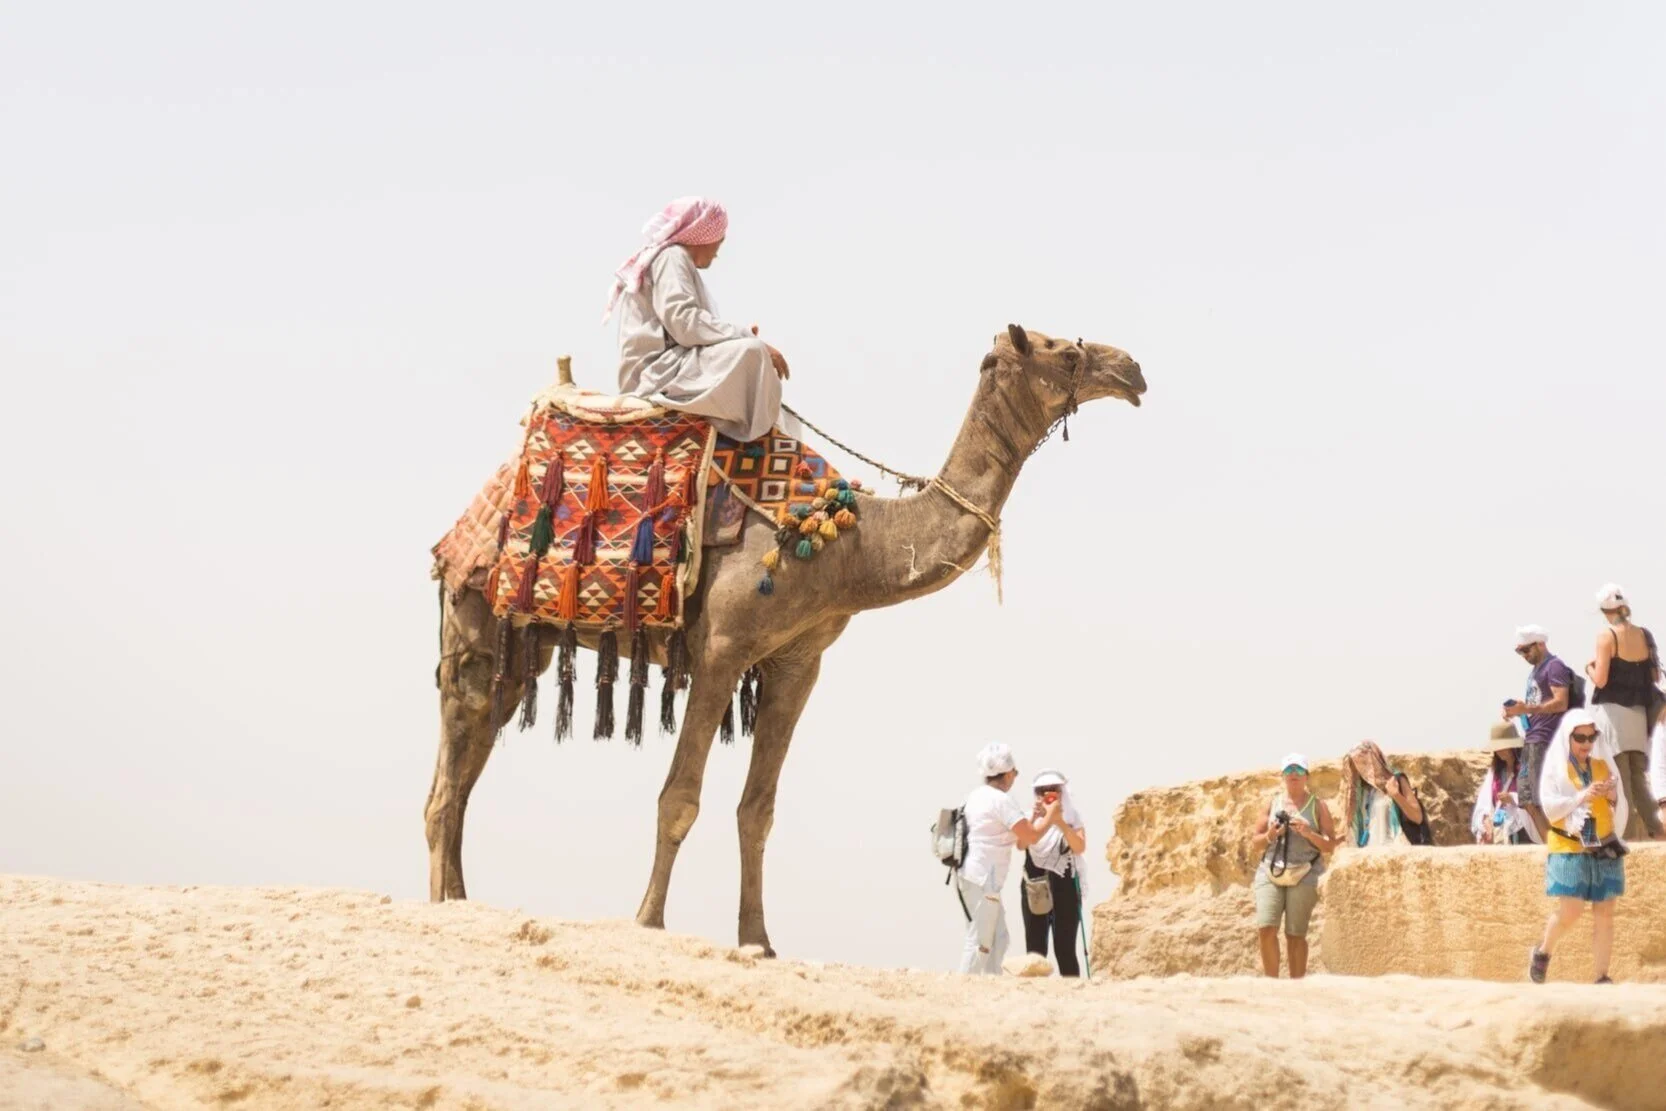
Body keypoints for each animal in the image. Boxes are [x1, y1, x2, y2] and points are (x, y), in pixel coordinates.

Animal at [425, 324, 1146, 954]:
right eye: (1064, 350)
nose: (1131, 369)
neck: (845, 546)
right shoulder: (722, 648)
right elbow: (679, 797)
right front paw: (649, 920)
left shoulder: (798, 662)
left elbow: (758, 810)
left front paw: (759, 939)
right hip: (474, 611)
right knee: (452, 769)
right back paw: (440, 902)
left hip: (525, 641)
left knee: (467, 760)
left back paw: (457, 900)